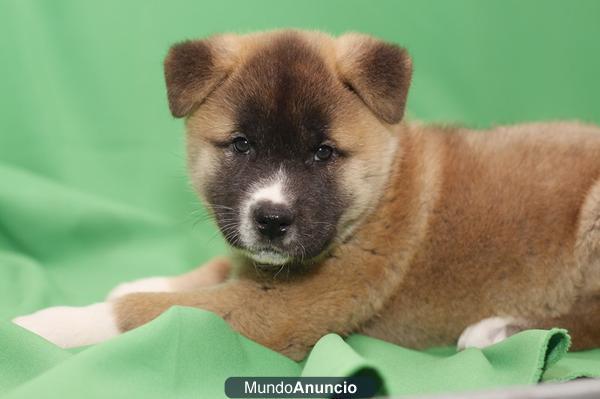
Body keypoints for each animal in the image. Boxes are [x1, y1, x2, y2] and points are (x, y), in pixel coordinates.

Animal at [12, 30, 600, 362]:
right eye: (241, 145)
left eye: (323, 153)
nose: (272, 219)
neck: (382, 188)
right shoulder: (252, 265)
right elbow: (205, 271)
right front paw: (142, 279)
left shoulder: (285, 311)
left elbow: (150, 312)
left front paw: (48, 322)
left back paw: (500, 332)